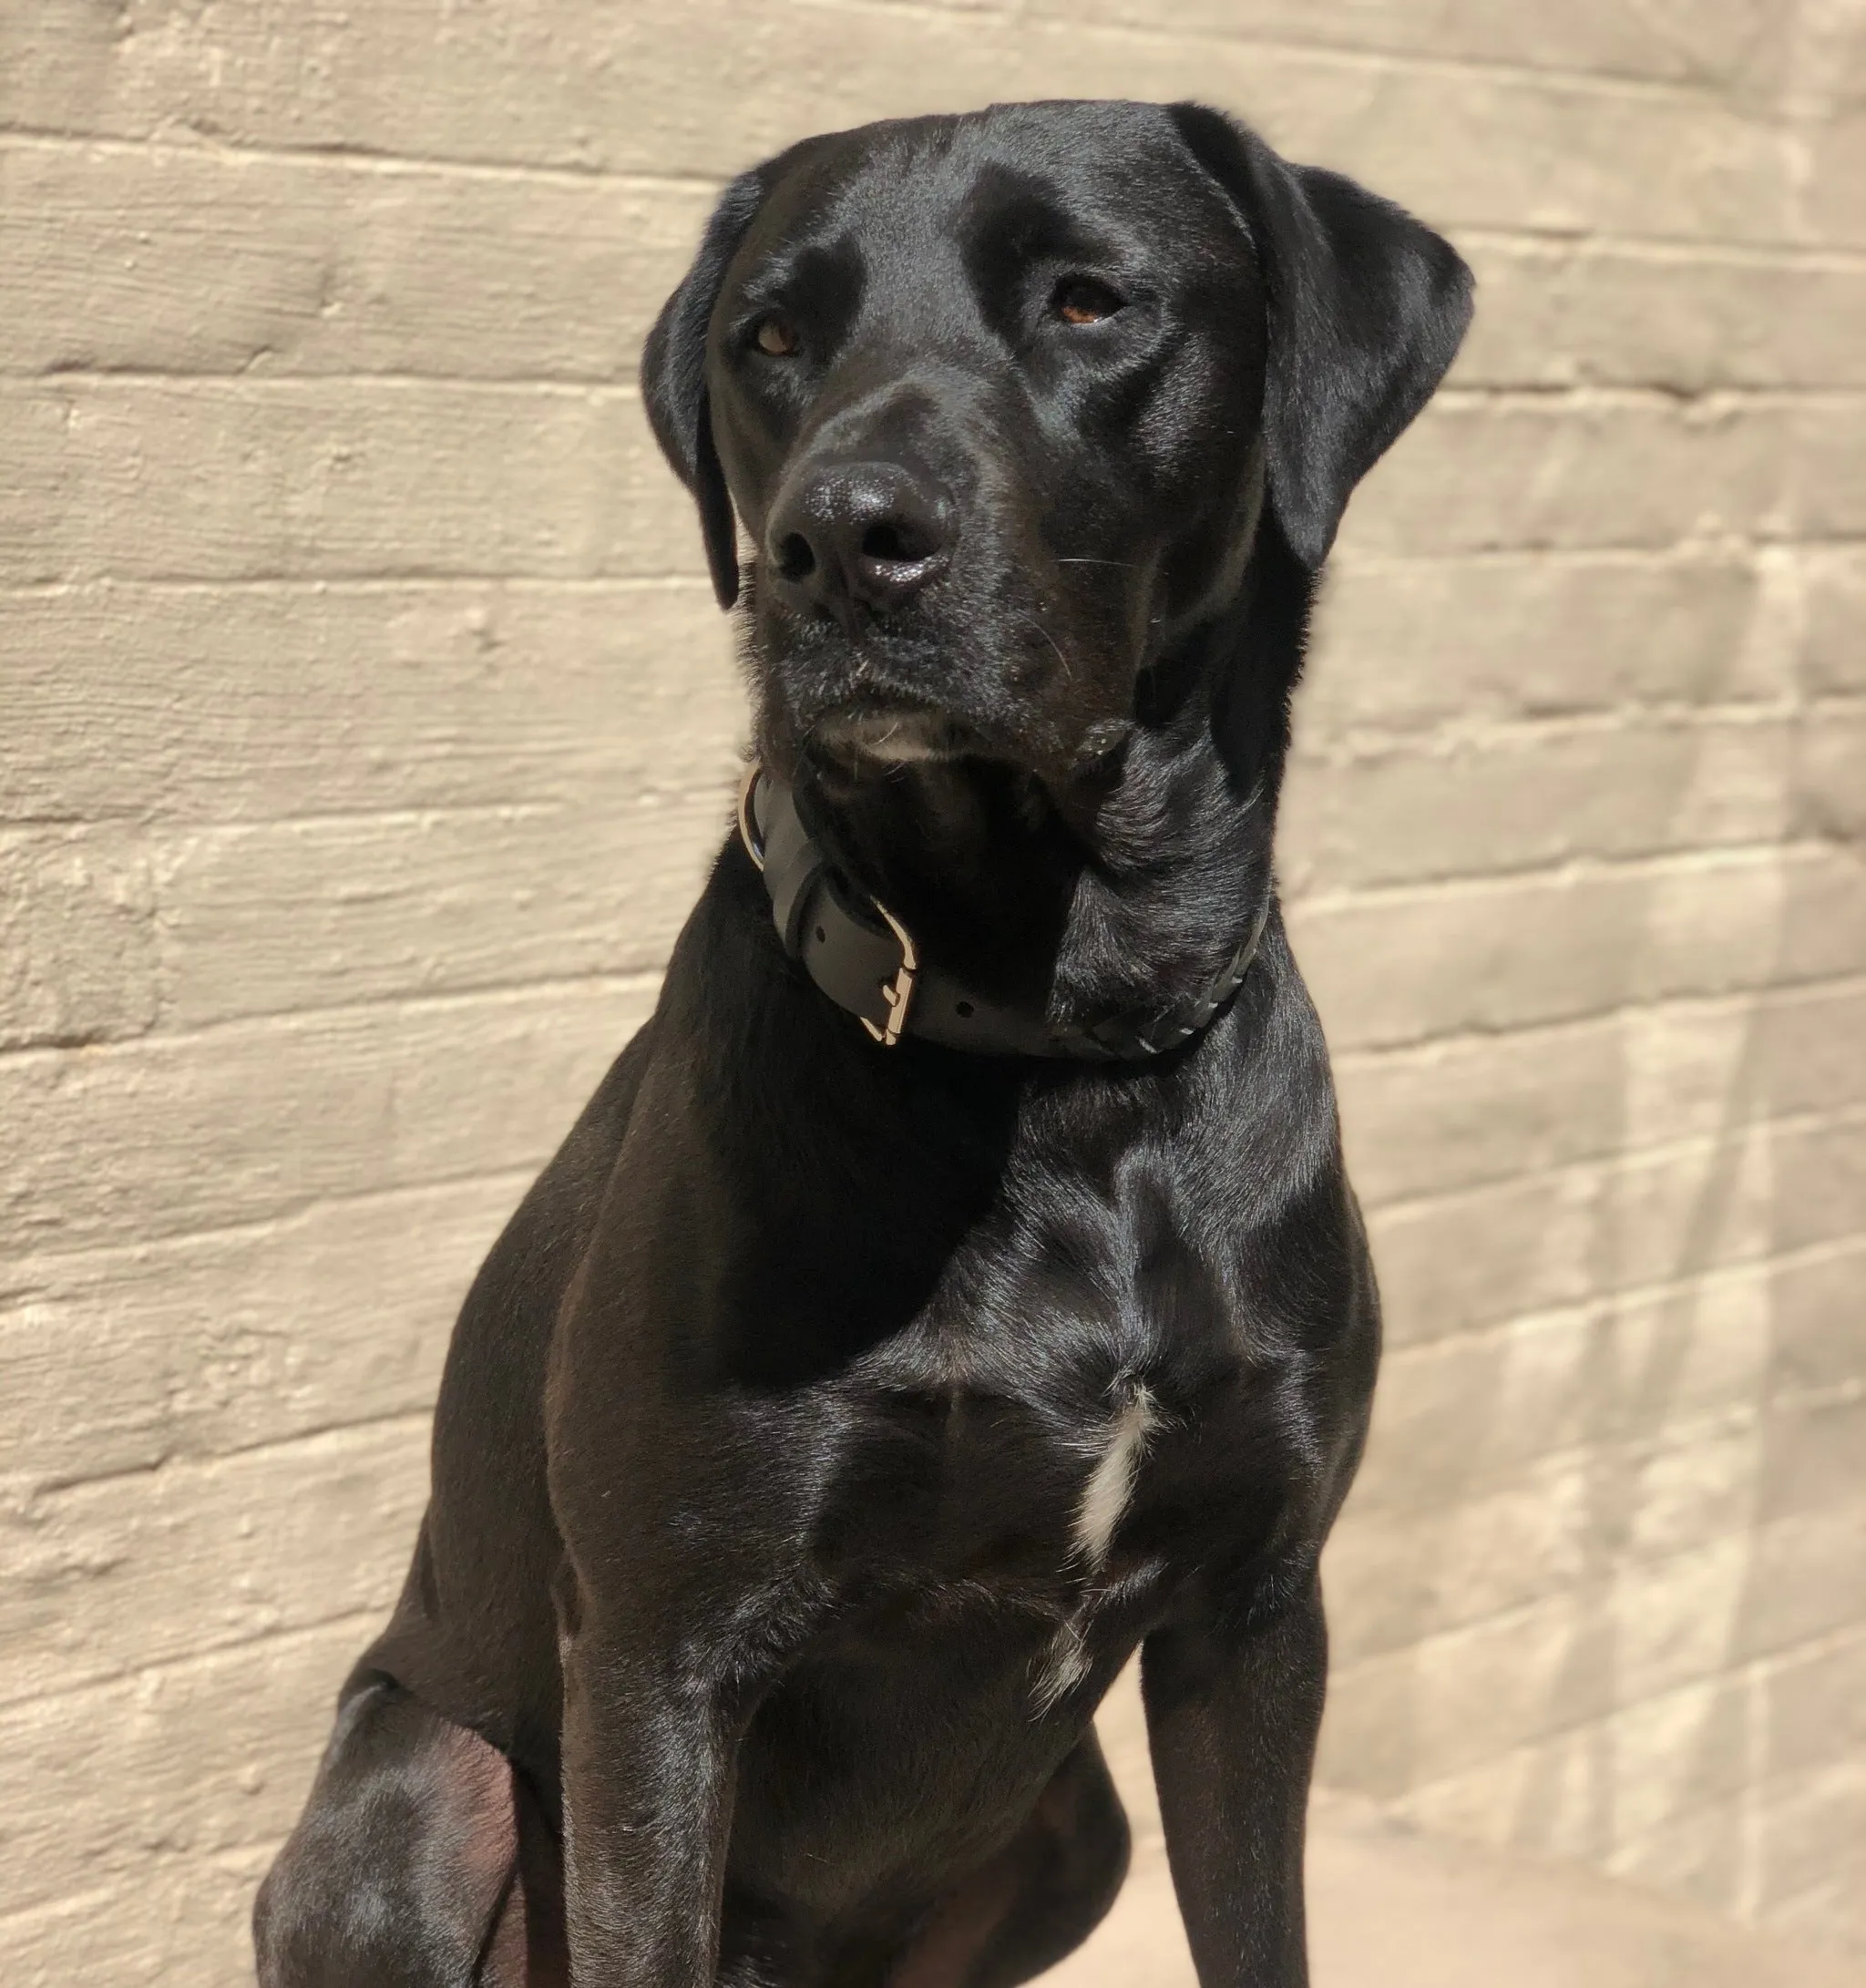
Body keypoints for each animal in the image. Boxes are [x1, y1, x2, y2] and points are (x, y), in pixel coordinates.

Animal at [256, 97, 1470, 1988]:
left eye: (1085, 300)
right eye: (769, 339)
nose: (831, 544)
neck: (1054, 1045)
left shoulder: (1257, 1606)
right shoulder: (660, 1655)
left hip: (1074, 1836)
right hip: (412, 1799)